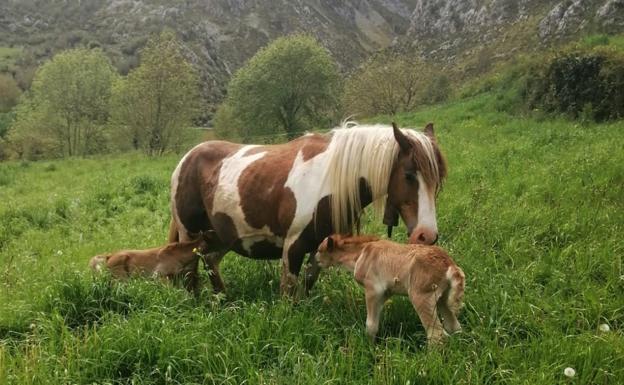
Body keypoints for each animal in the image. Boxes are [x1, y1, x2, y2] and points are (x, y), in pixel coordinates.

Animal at [168, 122, 446, 294]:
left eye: (438, 180)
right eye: (409, 175)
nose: (427, 235)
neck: (329, 180)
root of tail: (185, 159)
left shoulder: (320, 244)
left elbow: (308, 283)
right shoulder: (293, 246)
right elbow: (289, 293)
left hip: (220, 236)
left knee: (210, 261)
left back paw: (224, 300)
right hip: (190, 235)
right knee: (190, 272)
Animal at [316, 234, 464, 344]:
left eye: (319, 249)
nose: (315, 259)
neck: (361, 253)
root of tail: (449, 264)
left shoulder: (373, 290)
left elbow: (371, 325)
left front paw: (369, 347)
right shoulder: (385, 293)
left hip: (421, 297)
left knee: (437, 334)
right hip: (444, 298)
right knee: (454, 326)